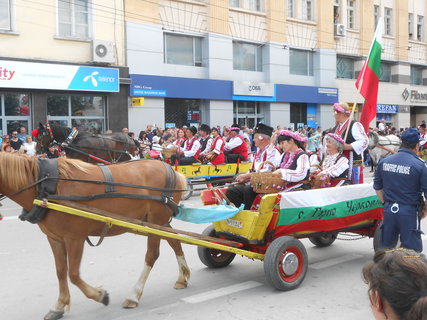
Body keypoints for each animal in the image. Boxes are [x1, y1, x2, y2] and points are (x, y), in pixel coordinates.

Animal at [0, 152, 189, 320]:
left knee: (152, 255)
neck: (47, 186)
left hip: (156, 220)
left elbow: (73, 274)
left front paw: (100, 295)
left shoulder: (74, 238)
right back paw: (182, 278)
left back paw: (134, 295)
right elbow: (61, 271)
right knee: (175, 241)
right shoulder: (54, 238)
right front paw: (59, 305)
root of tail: (173, 171)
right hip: (158, 223)